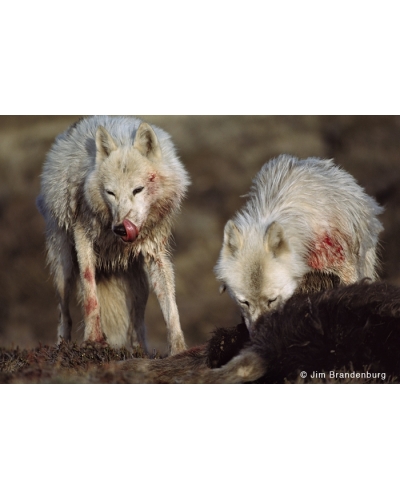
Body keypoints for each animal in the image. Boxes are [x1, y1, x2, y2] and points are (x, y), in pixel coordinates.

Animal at [36, 115, 190, 354]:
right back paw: (62, 346)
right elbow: (91, 297)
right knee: (65, 314)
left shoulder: (156, 253)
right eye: (110, 193)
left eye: (138, 190)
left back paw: (141, 351)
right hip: (64, 269)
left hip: (140, 286)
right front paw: (93, 341)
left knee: (137, 324)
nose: (120, 228)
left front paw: (179, 350)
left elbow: (171, 308)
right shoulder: (83, 238)